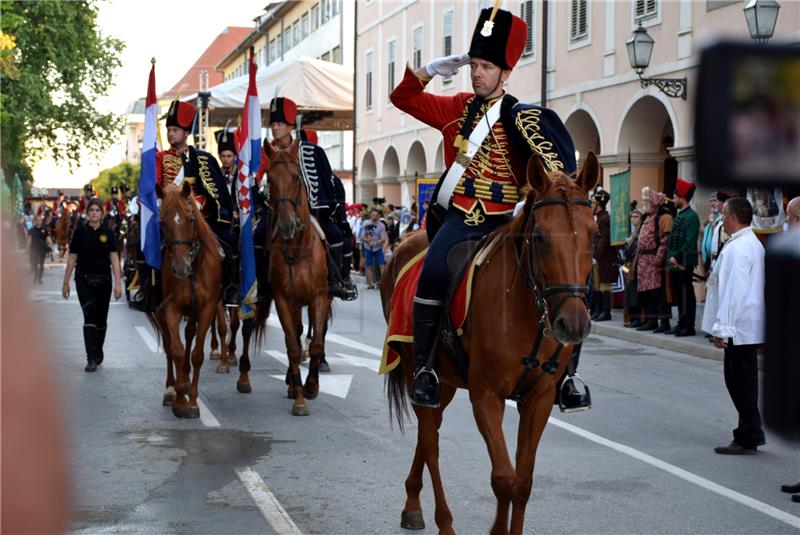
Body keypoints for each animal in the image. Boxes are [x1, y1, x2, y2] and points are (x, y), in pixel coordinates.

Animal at [149, 182, 228, 420]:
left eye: (191, 219)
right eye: (161, 222)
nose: (180, 268)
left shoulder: (207, 308)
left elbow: (197, 354)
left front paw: (192, 400)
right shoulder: (170, 308)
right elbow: (175, 349)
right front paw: (180, 398)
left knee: (190, 337)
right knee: (169, 345)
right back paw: (172, 388)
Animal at [258, 137, 330, 414]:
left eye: (297, 177)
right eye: (270, 179)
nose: (287, 225)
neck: (298, 249)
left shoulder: (320, 297)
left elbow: (317, 343)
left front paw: (311, 386)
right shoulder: (283, 300)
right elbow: (292, 346)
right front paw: (298, 395)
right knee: (297, 336)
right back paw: (291, 381)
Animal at [382, 153, 600, 532]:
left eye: (594, 233)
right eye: (540, 236)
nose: (573, 324)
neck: (524, 307)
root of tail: (404, 243)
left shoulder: (539, 398)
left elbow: (522, 482)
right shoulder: (486, 395)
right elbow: (503, 478)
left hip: (446, 381)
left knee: (430, 432)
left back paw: (412, 503)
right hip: (414, 370)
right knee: (431, 442)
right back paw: (443, 521)